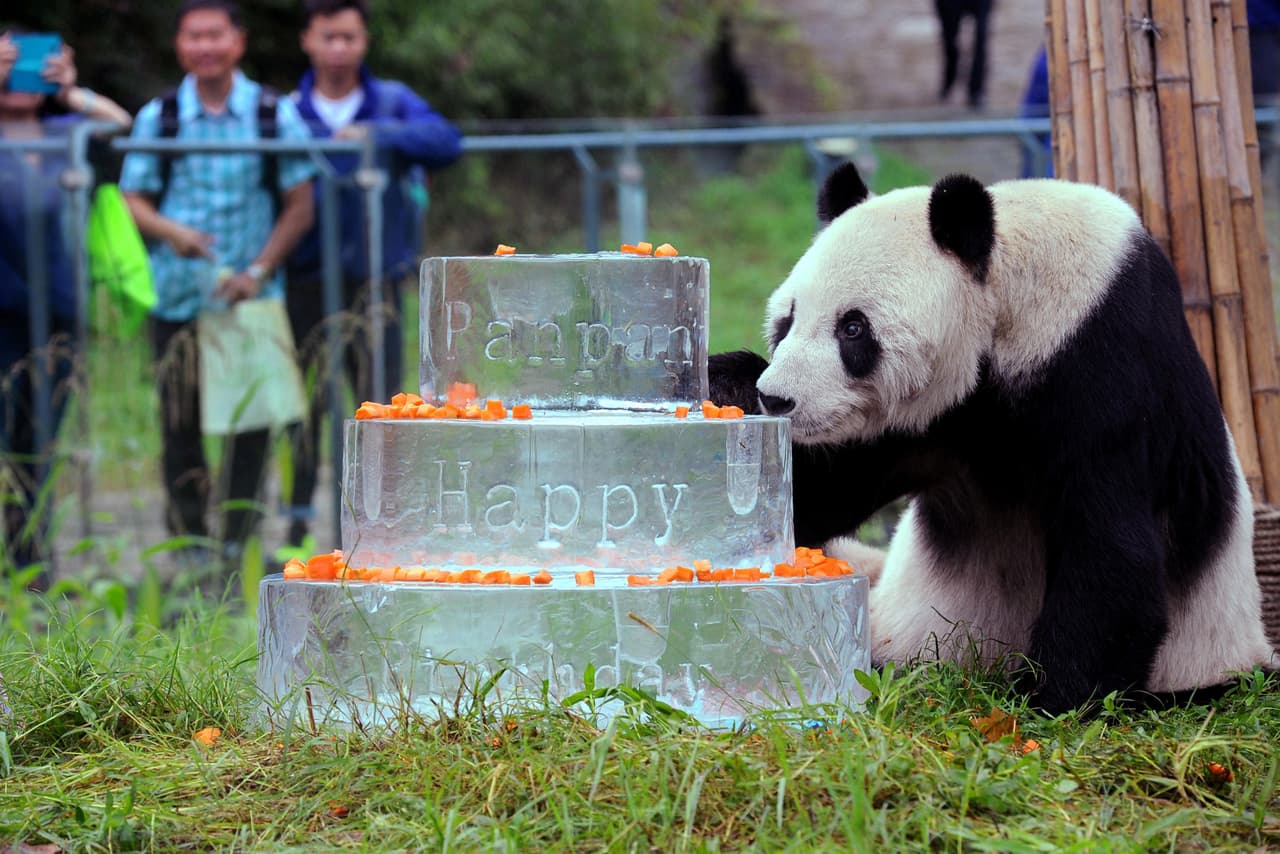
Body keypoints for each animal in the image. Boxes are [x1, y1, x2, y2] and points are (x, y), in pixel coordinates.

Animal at [710, 163, 1277, 714]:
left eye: (853, 329)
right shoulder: (928, 421)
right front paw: (727, 384)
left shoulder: (1107, 366)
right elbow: (820, 497)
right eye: (787, 320)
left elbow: (1112, 546)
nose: (778, 399)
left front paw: (1050, 700)